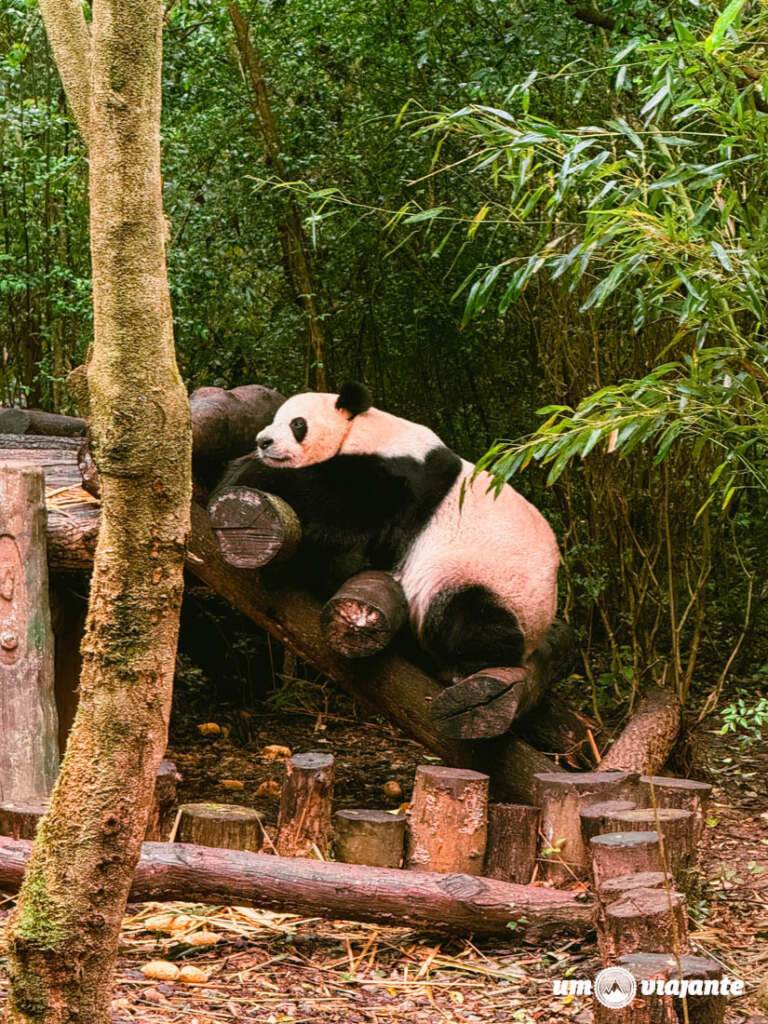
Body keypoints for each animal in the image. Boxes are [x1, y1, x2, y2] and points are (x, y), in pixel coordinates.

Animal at [218, 382, 560, 681]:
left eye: (297, 424)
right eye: (274, 419)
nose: (263, 442)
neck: (361, 431)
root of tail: (536, 636)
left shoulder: (396, 479)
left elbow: (340, 511)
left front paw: (247, 473)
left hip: (488, 580)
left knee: (471, 614)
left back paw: (471, 663)